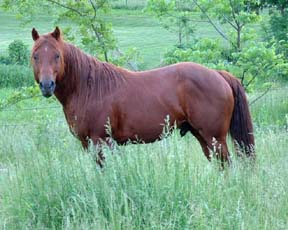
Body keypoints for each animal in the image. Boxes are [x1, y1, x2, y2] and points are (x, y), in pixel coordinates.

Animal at [31, 27, 254, 166]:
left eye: (57, 55)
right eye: (35, 56)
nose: (47, 85)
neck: (89, 88)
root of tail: (218, 74)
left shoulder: (101, 141)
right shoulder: (88, 143)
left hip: (215, 138)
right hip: (202, 136)